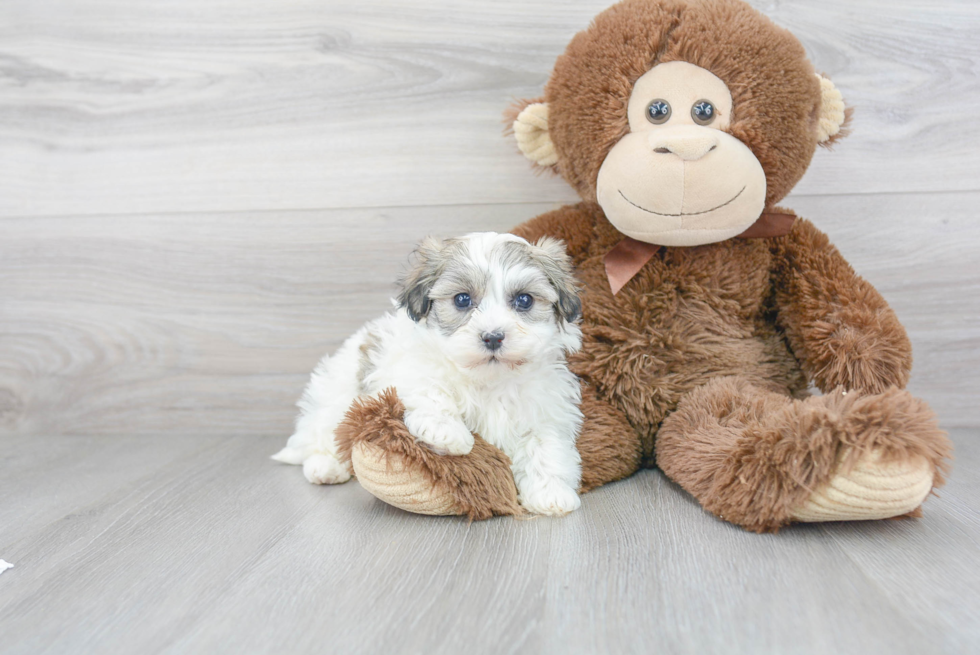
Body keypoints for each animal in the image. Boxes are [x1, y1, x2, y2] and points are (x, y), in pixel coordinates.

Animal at [270, 233, 580, 516]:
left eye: (524, 300)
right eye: (462, 299)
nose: (493, 336)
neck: (487, 380)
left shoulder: (546, 407)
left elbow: (545, 445)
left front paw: (551, 494)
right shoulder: (405, 366)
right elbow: (428, 386)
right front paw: (446, 432)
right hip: (336, 395)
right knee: (324, 433)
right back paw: (325, 466)